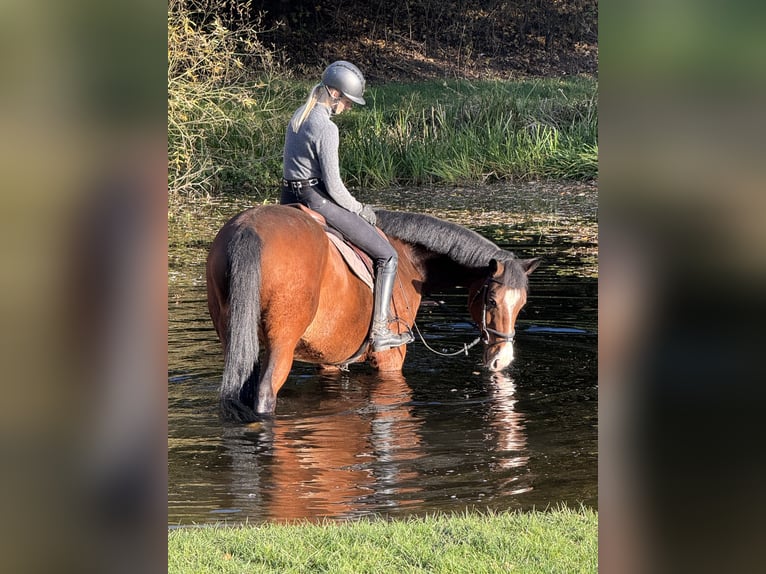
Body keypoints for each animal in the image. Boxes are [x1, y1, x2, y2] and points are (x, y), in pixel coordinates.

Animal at [206, 207, 540, 424]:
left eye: (521, 304)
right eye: (492, 301)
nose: (502, 359)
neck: (409, 259)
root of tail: (249, 226)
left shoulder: (329, 359)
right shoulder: (391, 358)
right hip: (281, 344)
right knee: (264, 393)